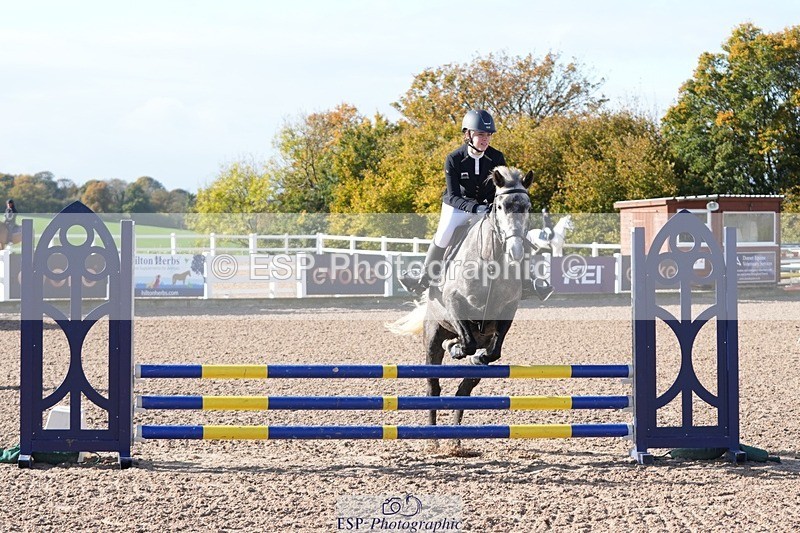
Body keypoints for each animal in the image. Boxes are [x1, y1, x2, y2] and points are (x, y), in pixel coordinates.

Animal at [387, 166, 533, 440]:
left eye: (527, 206)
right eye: (500, 206)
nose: (516, 252)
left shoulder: (507, 311)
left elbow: (492, 351)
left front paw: (475, 357)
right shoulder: (453, 302)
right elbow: (466, 340)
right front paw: (456, 348)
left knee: (464, 389)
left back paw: (455, 437)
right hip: (432, 337)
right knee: (433, 387)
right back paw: (434, 439)